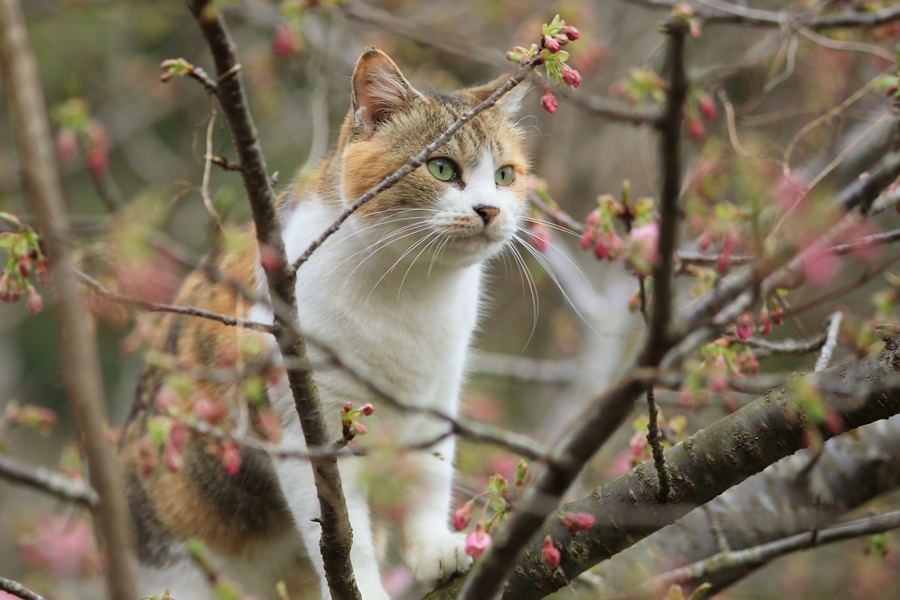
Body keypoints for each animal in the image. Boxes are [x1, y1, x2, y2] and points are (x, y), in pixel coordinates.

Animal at [118, 48, 528, 600]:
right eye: (442, 168)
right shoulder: (305, 429)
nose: (490, 210)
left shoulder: (436, 400)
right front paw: (369, 591)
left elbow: (427, 478)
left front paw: (435, 549)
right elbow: (345, 536)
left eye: (505, 175)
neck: (413, 294)